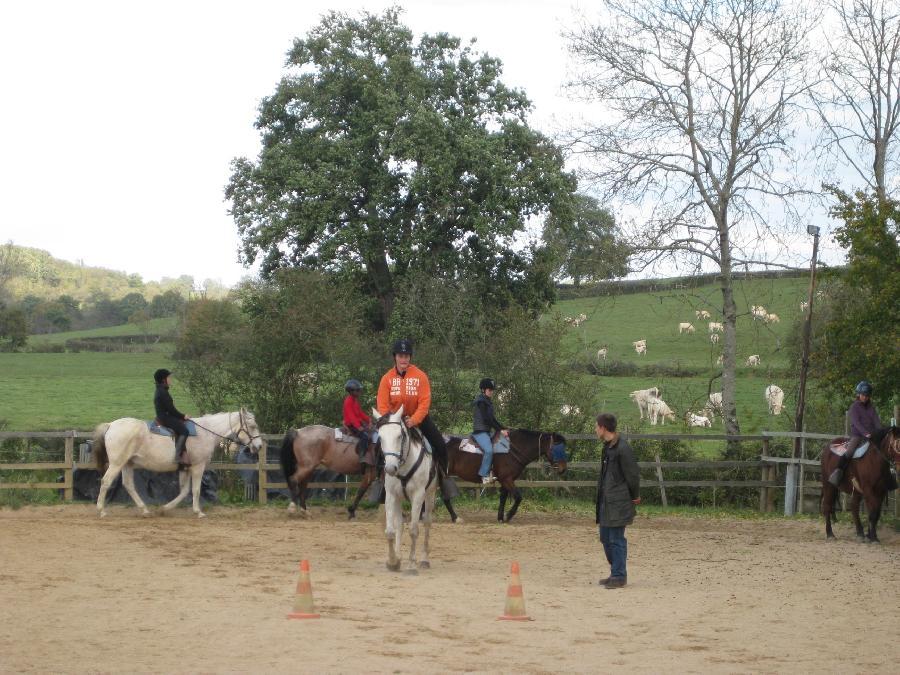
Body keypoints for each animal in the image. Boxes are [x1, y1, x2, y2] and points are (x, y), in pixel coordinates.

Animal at [93, 410, 266, 520]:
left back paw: (145, 510)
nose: (258, 446)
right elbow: (195, 490)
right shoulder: (198, 467)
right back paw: (101, 511)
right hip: (117, 463)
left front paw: (165, 508)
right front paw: (198, 512)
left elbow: (184, 491)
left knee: (128, 485)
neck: (206, 433)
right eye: (252, 426)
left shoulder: (185, 469)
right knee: (106, 481)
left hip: (127, 464)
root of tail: (111, 425)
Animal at [372, 406, 436, 576]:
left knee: (427, 522)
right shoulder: (391, 495)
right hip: (399, 498)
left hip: (430, 494)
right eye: (380, 437)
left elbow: (414, 530)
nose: (390, 468)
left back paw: (424, 560)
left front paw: (411, 565)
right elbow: (390, 530)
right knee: (399, 524)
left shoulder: (418, 495)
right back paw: (399, 556)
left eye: (399, 436)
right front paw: (393, 561)